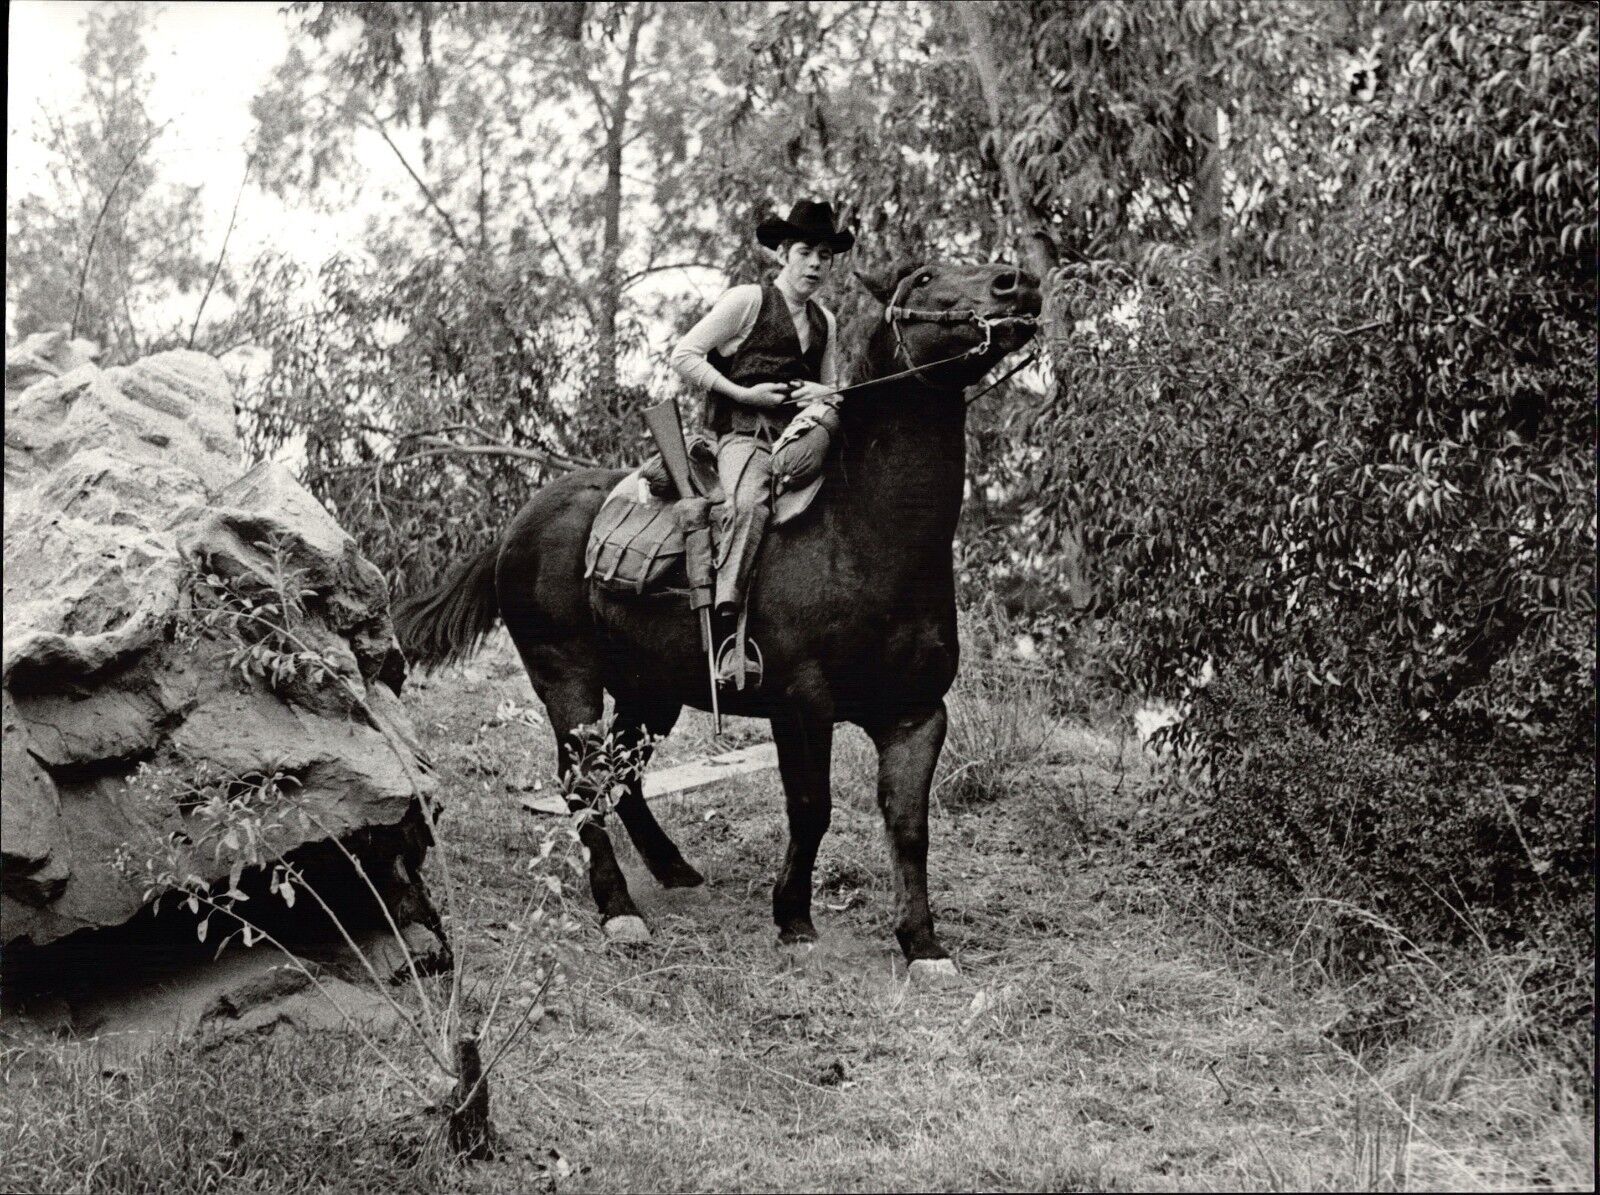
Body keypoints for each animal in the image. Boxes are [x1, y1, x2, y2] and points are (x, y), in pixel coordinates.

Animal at [398, 262, 1043, 979]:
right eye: (926, 277)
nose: (1017, 282)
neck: (865, 534)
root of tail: (518, 525)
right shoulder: (802, 706)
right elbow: (811, 809)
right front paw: (793, 918)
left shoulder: (918, 715)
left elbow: (908, 825)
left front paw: (923, 943)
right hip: (567, 679)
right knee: (585, 781)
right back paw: (619, 910)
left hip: (651, 693)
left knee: (625, 776)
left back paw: (672, 866)